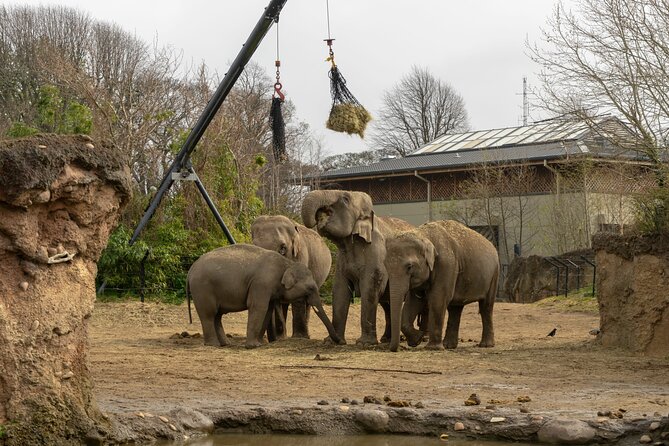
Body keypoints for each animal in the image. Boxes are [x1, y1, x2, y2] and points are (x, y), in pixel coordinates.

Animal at [185, 244, 340, 348]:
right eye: (310, 288)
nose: (339, 341)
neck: (287, 264)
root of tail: (190, 270)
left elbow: (268, 310)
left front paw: (260, 343)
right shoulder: (261, 284)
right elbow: (258, 307)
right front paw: (253, 346)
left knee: (217, 316)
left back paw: (225, 344)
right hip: (202, 289)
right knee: (209, 314)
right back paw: (213, 344)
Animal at [302, 188, 412, 344]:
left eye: (345, 199)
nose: (320, 216)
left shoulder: (376, 253)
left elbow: (370, 288)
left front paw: (364, 343)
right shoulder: (342, 260)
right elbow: (340, 290)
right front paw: (332, 342)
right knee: (388, 304)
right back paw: (386, 339)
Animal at [384, 220, 498, 352]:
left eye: (409, 266)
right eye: (385, 266)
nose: (395, 348)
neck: (423, 235)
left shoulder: (446, 264)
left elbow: (437, 298)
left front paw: (431, 347)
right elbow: (413, 301)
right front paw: (417, 339)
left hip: (494, 274)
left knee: (486, 306)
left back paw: (486, 345)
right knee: (455, 308)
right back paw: (449, 346)